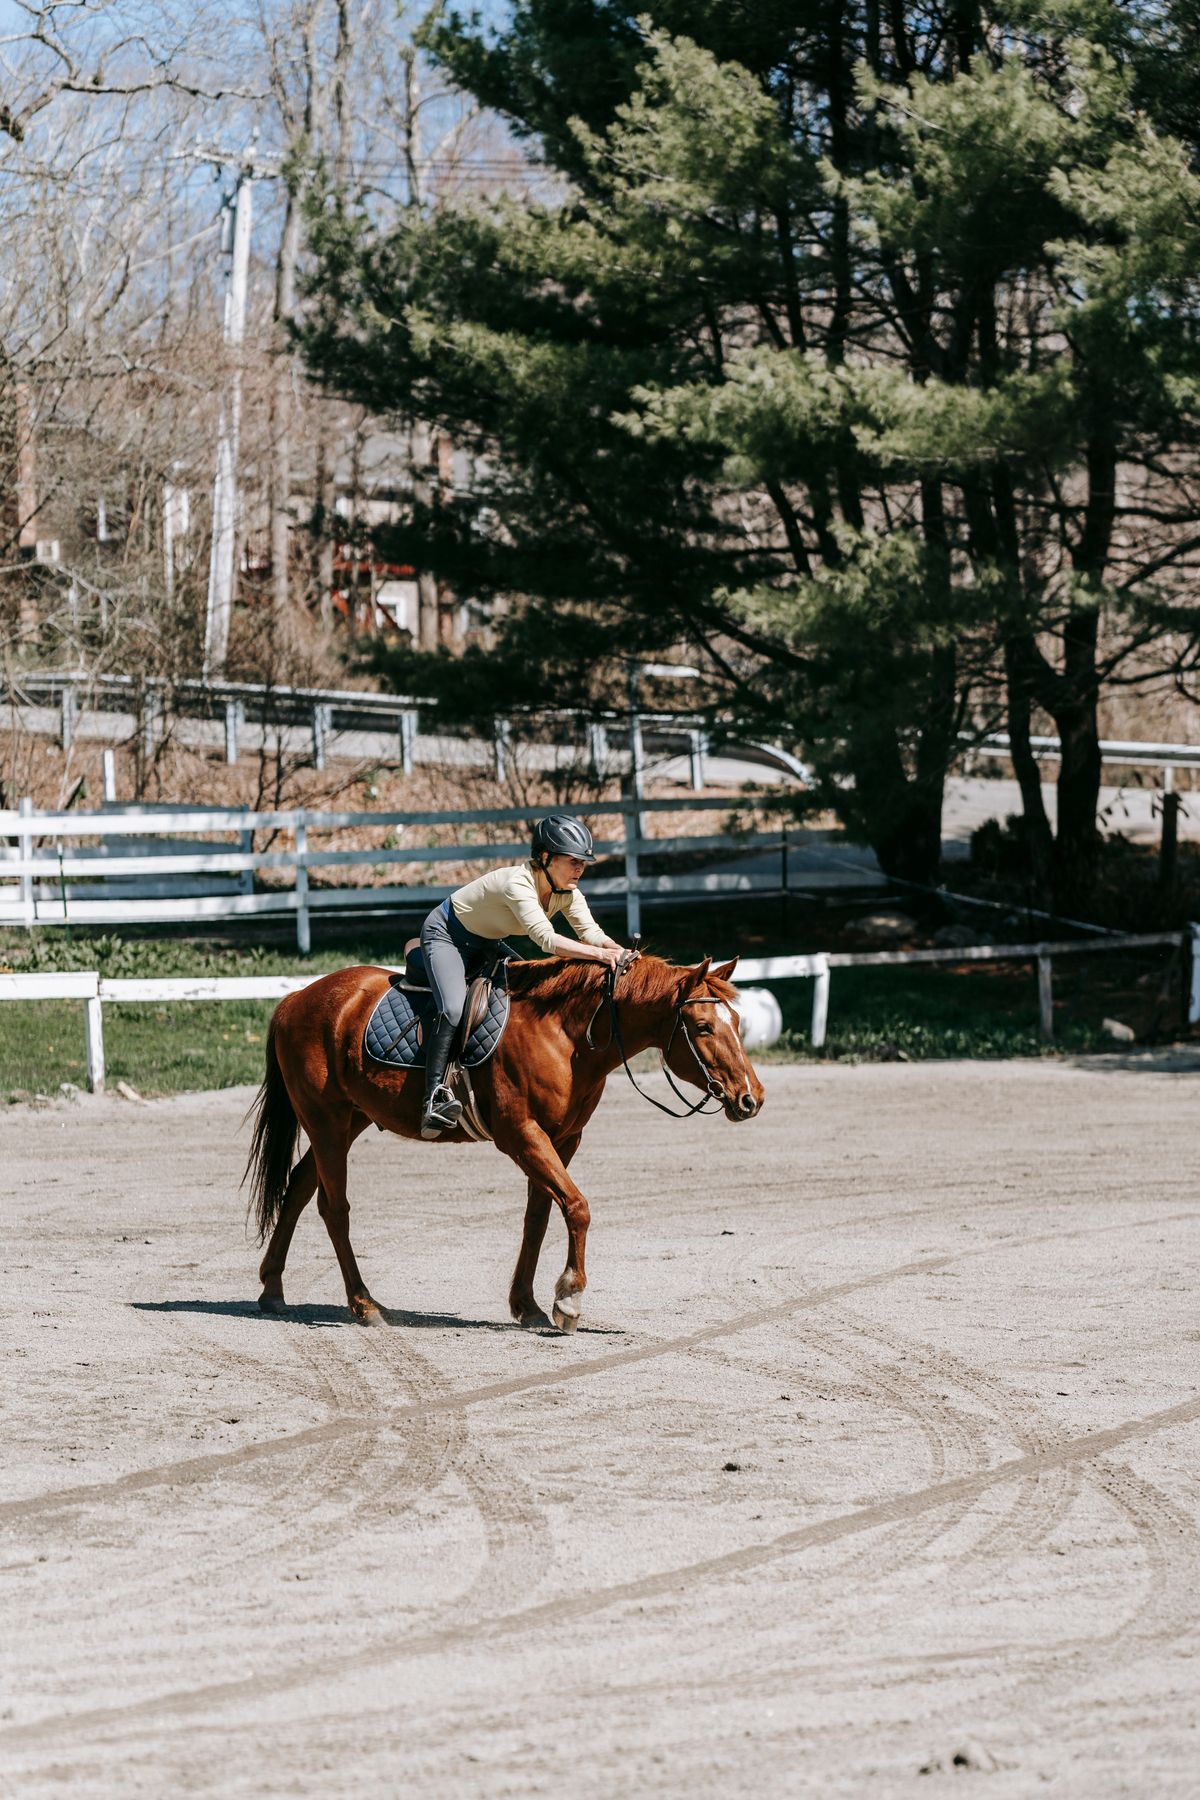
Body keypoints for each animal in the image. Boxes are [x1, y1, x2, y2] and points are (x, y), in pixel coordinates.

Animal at [243, 952, 764, 1333]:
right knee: (334, 1210)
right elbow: (577, 1207)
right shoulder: (521, 1135)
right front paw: (569, 1299)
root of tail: (296, 999)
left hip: (347, 1121)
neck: (566, 1035)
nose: (751, 1098)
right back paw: (364, 1304)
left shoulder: (562, 1139)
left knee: (298, 1187)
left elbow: (540, 1216)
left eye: (738, 1024)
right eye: (703, 1027)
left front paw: (528, 1304)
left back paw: (272, 1289)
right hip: (327, 1123)